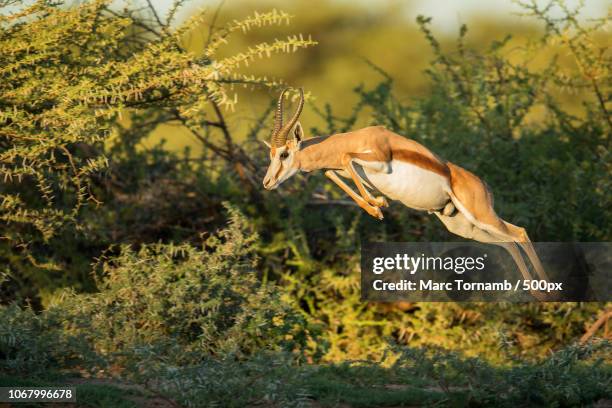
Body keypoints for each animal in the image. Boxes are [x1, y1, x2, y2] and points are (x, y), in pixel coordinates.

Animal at [262, 88, 556, 300]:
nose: (267, 182)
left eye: (284, 154)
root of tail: (484, 185)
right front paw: (378, 204)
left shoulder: (378, 159)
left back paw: (549, 291)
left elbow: (346, 158)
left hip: (481, 215)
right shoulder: (342, 170)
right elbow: (333, 172)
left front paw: (376, 203)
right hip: (465, 227)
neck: (353, 137)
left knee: (519, 233)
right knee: (507, 242)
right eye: (271, 154)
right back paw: (537, 293)